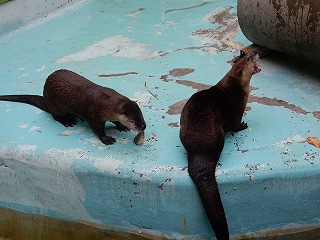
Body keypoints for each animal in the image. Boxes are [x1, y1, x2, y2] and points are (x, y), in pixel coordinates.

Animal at [0, 68, 146, 145]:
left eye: (142, 117)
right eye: (135, 121)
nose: (144, 126)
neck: (106, 102)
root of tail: (45, 97)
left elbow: (115, 120)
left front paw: (122, 126)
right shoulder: (94, 116)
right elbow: (98, 130)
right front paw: (107, 139)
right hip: (54, 105)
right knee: (55, 116)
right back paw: (67, 121)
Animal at [179, 51, 262, 239]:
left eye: (246, 54)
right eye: (248, 59)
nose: (254, 52)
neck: (236, 87)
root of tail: (199, 152)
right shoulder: (238, 109)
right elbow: (235, 125)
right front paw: (243, 125)